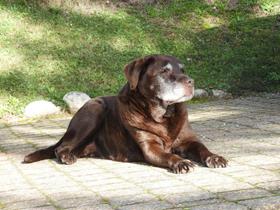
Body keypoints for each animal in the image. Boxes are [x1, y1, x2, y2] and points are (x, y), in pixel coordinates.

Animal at [23, 55, 226, 173]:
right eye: (164, 71)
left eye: (183, 70)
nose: (191, 81)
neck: (163, 116)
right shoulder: (150, 147)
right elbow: (169, 155)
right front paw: (180, 162)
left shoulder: (188, 141)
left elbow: (202, 148)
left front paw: (214, 157)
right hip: (94, 109)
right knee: (60, 148)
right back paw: (67, 156)